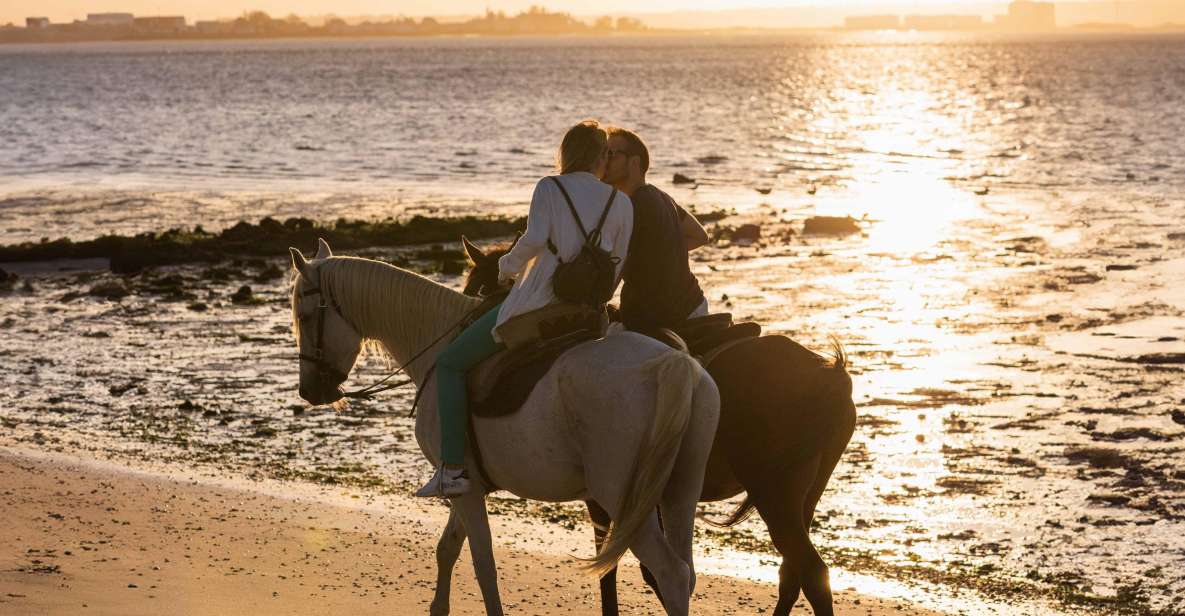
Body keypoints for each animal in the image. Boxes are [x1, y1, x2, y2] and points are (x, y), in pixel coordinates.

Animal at [286, 239, 720, 616]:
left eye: (305, 317)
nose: (310, 391)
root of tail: (674, 364)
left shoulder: (465, 490)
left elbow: (483, 566)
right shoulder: (465, 483)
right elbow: (448, 549)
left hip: (625, 498)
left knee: (669, 573)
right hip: (678, 493)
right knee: (684, 573)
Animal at [457, 236, 857, 616]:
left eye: (477, 290)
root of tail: (830, 374)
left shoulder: (609, 496)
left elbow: (624, 567)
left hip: (774, 490)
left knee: (810, 571)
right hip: (803, 493)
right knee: (793, 571)